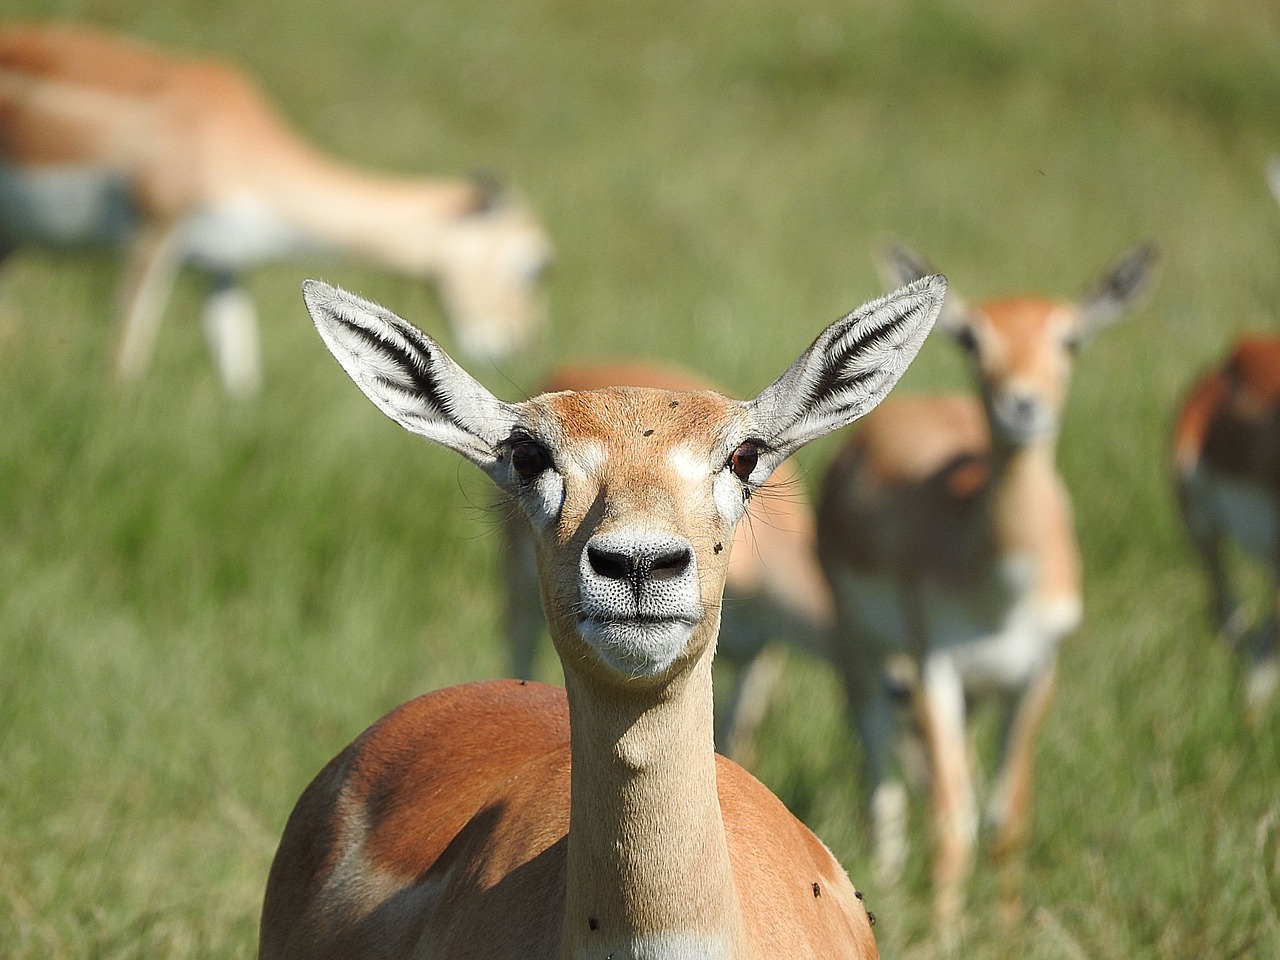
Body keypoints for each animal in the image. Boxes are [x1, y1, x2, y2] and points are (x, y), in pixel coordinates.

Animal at [0, 24, 545, 396]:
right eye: (537, 265)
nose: (516, 346)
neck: (235, 143)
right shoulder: (153, 233)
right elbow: (126, 349)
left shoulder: (222, 266)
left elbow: (239, 371)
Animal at [819, 241, 1162, 942]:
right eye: (974, 339)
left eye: (1070, 337)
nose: (1021, 404)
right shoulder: (935, 668)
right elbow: (953, 820)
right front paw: (946, 937)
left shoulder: (1037, 673)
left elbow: (1007, 816)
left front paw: (1006, 932)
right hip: (864, 652)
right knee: (880, 763)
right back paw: (881, 882)